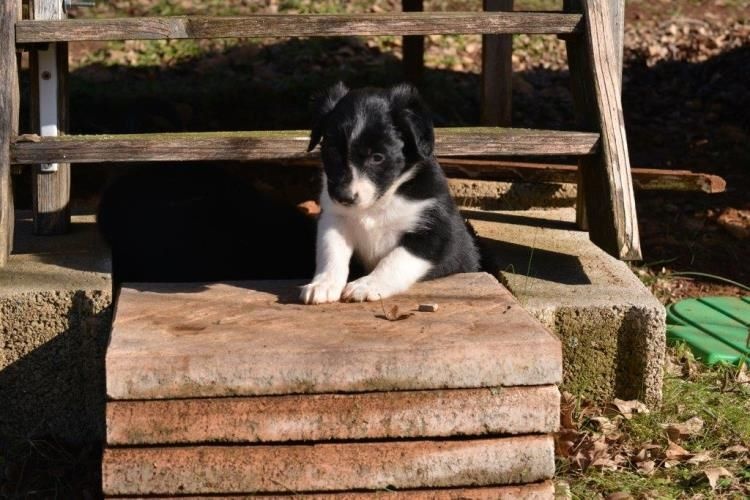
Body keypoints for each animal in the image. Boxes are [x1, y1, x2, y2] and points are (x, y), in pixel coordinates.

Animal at [302, 82, 482, 302]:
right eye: (332, 152)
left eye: (377, 157)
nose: (344, 198)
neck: (380, 202)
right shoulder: (334, 218)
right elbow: (331, 251)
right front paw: (323, 284)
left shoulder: (436, 231)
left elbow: (395, 259)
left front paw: (367, 285)